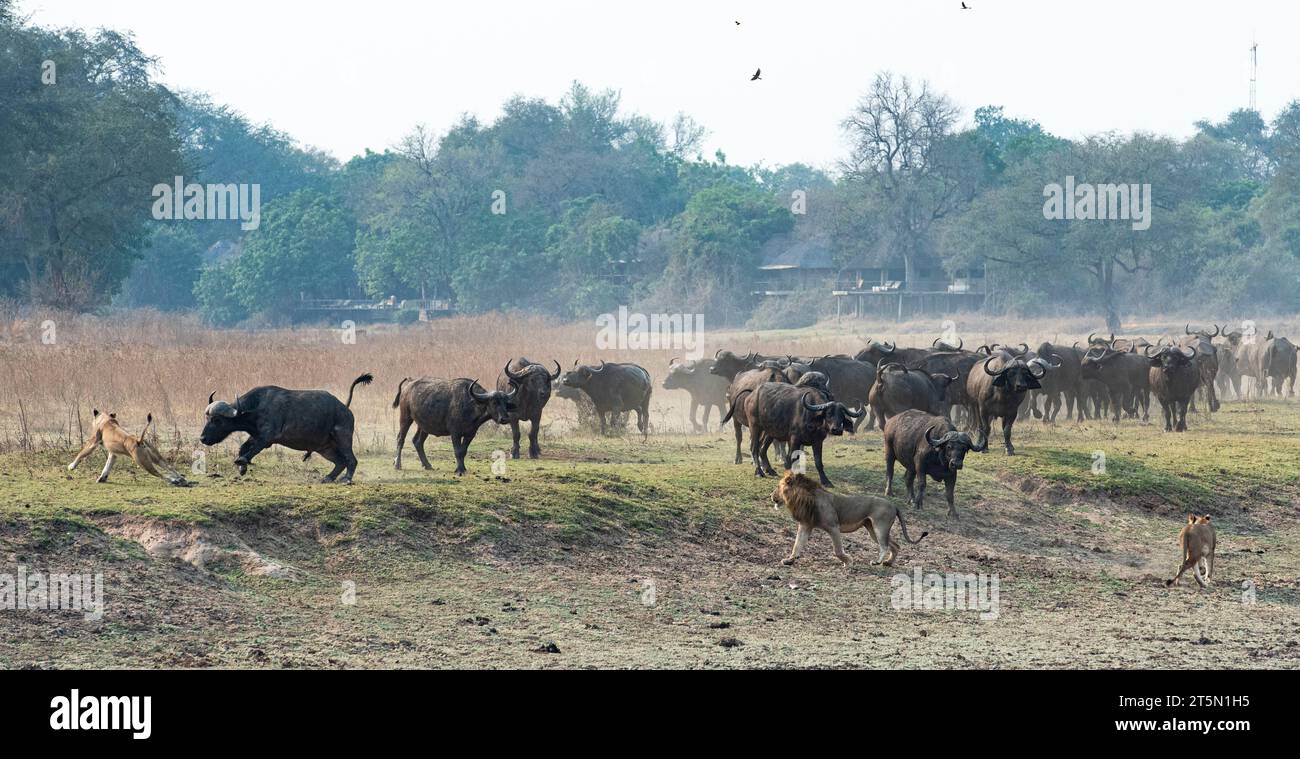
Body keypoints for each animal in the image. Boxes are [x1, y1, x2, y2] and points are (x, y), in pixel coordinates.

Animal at [771, 471, 926, 566]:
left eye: (778, 487)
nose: (770, 495)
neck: (803, 499)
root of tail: (894, 505)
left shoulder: (833, 526)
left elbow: (837, 550)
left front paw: (848, 561)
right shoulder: (805, 525)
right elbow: (797, 545)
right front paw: (789, 560)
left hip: (879, 526)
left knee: (884, 545)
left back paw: (877, 562)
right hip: (872, 529)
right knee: (895, 545)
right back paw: (888, 563)